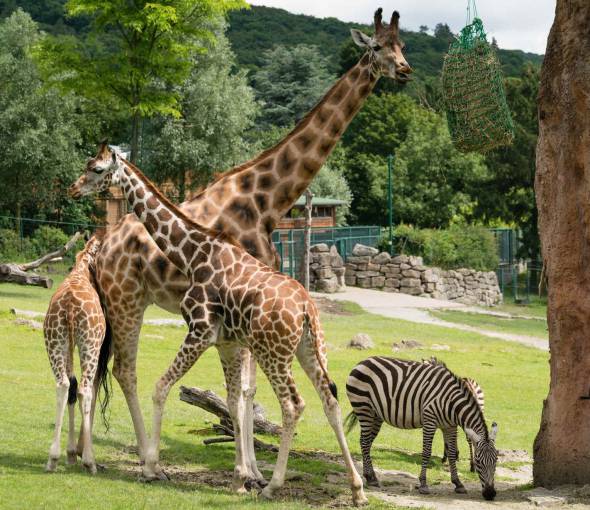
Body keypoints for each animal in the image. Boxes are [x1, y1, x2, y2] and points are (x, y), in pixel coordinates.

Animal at [44, 234, 108, 474]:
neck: (82, 267)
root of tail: (70, 307)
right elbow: (80, 389)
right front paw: (77, 455)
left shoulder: (68, 345)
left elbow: (71, 383)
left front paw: (70, 453)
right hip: (90, 343)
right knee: (85, 389)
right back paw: (90, 461)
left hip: (55, 340)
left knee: (64, 384)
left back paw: (52, 458)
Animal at [70, 145, 370, 508]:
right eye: (89, 164)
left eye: (97, 169)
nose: (74, 189)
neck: (192, 254)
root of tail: (306, 310)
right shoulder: (226, 342)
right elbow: (233, 399)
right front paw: (241, 477)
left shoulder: (200, 330)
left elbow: (162, 387)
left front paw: (153, 467)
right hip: (309, 350)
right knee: (329, 398)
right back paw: (357, 489)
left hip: (273, 353)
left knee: (293, 404)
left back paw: (273, 486)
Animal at [346, 356, 500, 500]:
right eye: (479, 463)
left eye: (496, 461)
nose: (490, 494)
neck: (452, 403)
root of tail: (364, 361)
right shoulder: (430, 421)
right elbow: (426, 452)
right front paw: (424, 484)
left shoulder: (450, 426)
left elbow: (451, 453)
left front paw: (458, 483)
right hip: (364, 408)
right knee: (365, 442)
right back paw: (370, 479)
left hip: (376, 415)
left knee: (366, 442)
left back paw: (370, 476)